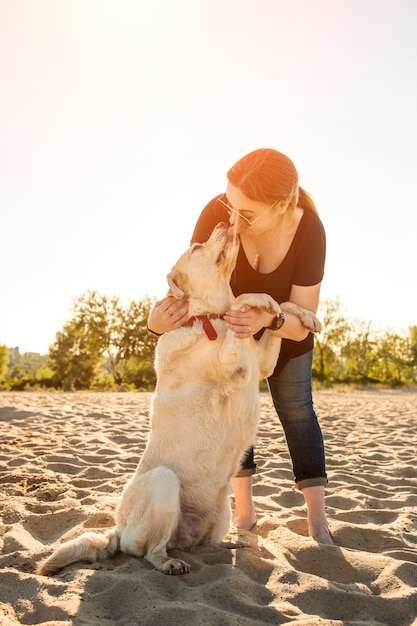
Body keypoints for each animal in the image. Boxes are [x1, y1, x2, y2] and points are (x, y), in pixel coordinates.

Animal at [37, 224, 320, 576]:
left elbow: (279, 309)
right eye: (197, 247)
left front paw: (303, 316)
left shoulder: (261, 364)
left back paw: (233, 543)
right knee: (150, 551)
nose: (224, 222)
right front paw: (261, 300)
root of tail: (117, 530)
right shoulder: (236, 364)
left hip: (223, 510)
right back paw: (171, 563)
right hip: (163, 482)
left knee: (203, 544)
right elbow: (241, 300)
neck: (207, 317)